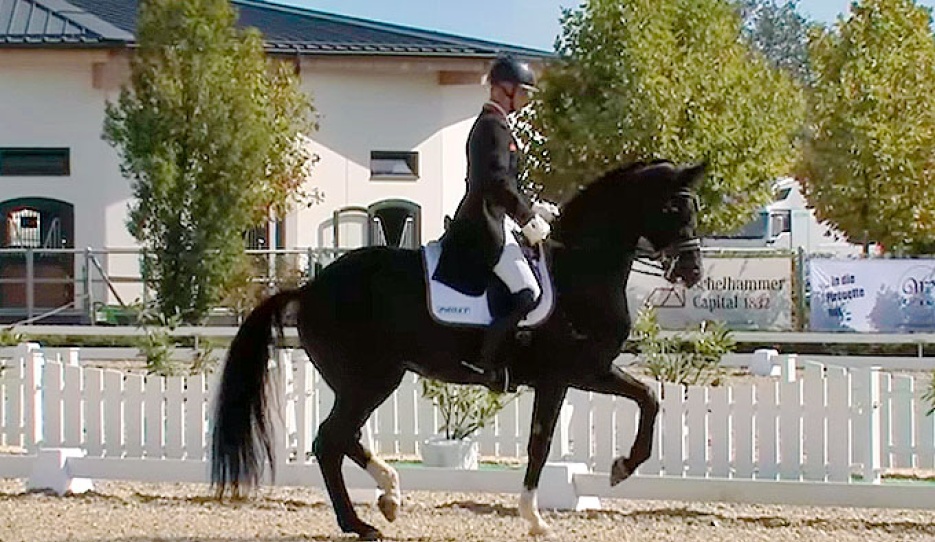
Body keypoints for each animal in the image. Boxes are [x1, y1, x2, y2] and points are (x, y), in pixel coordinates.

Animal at [212, 159, 704, 540]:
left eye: (693, 207)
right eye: (673, 207)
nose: (693, 271)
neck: (579, 267)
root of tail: (309, 289)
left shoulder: (582, 374)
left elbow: (641, 400)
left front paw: (615, 470)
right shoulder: (572, 373)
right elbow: (550, 441)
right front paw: (543, 513)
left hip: (370, 380)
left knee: (341, 438)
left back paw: (388, 496)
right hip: (368, 380)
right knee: (330, 441)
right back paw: (361, 522)